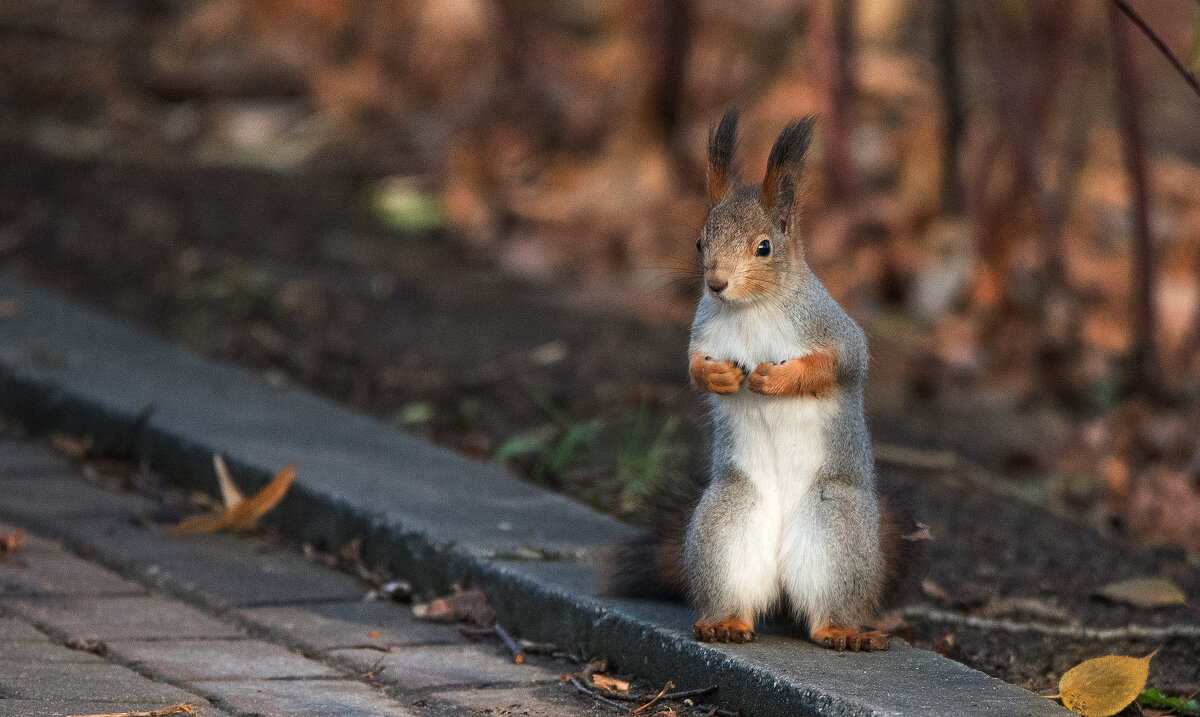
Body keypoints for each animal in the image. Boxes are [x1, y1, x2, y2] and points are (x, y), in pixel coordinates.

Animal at [609, 109, 907, 657]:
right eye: (700, 241)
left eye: (764, 248)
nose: (715, 283)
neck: (750, 310)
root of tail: (783, 582)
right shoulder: (703, 332)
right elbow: (692, 367)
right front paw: (720, 375)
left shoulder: (832, 330)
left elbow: (841, 363)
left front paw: (776, 377)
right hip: (726, 526)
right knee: (739, 593)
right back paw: (725, 623)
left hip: (837, 530)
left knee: (825, 609)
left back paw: (843, 631)